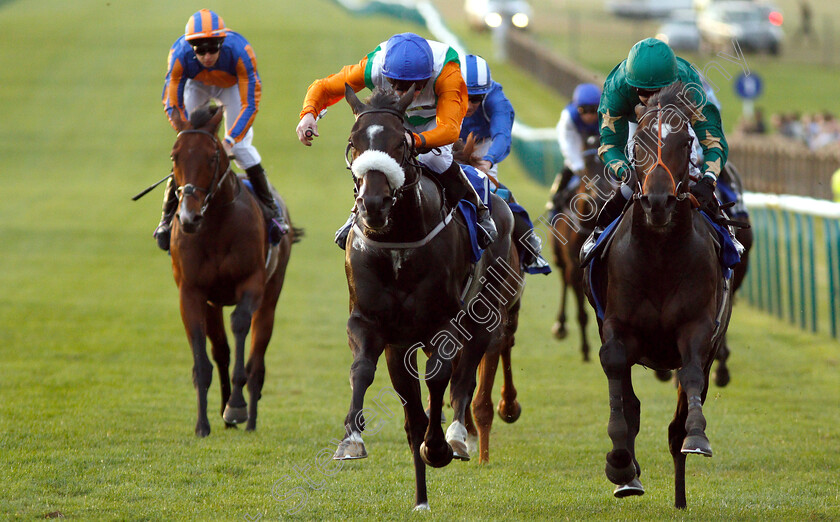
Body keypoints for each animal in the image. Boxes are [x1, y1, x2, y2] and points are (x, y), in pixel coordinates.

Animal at [167, 106, 298, 434]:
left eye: (212, 158)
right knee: (221, 352)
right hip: (213, 303)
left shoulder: (252, 282)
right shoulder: (192, 292)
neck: (214, 225)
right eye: (174, 156)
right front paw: (202, 425)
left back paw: (248, 416)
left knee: (257, 355)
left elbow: (240, 324)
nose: (188, 217)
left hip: (271, 293)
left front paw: (237, 406)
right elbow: (203, 357)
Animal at [334, 86, 520, 508]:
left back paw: (458, 437)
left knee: (466, 377)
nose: (373, 204)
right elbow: (363, 372)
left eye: (401, 145)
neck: (398, 243)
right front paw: (351, 439)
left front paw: (439, 447)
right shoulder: (375, 327)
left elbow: (440, 377)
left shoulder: (444, 323)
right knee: (416, 415)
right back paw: (421, 498)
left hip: (486, 315)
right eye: (353, 143)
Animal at [548, 136, 612, 360]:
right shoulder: (575, 264)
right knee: (564, 279)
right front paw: (585, 349)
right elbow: (582, 313)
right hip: (558, 256)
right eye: (586, 165)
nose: (601, 194)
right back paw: (560, 325)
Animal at [584, 83, 736, 506]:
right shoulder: (617, 328)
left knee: (677, 423)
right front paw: (621, 465)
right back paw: (629, 475)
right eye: (637, 143)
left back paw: (681, 497)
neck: (660, 256)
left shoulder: (698, 328)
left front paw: (698, 435)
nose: (657, 202)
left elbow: (690, 381)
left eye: (685, 142)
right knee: (632, 404)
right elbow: (620, 384)